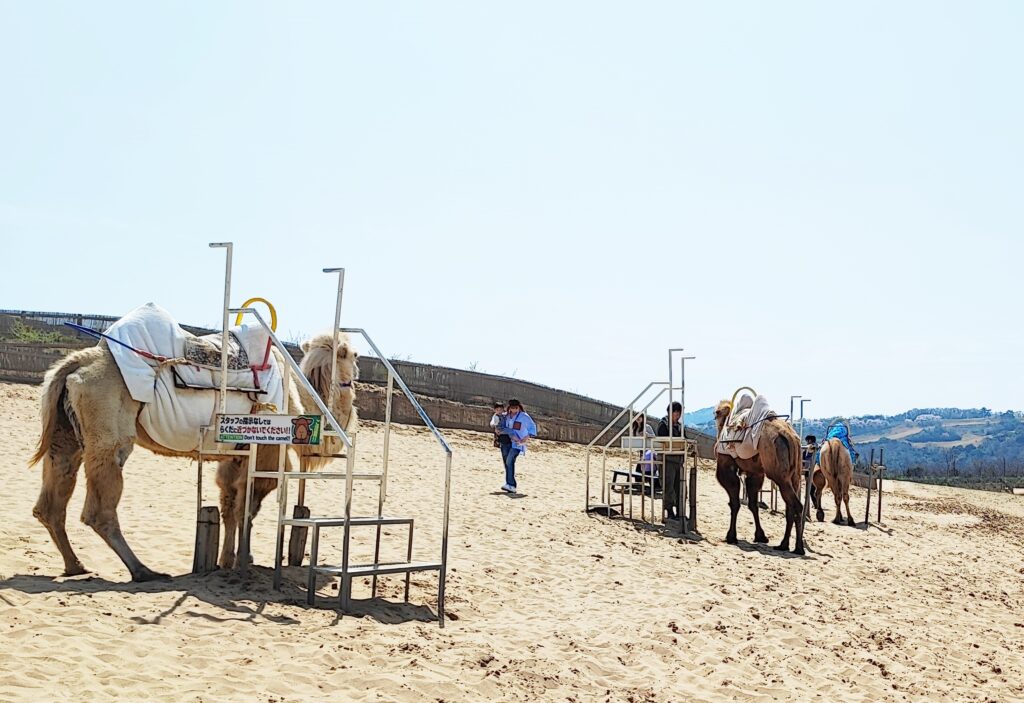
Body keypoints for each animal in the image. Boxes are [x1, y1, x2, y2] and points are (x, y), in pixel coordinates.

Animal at [29, 331, 358, 581]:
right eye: (354, 354)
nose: (357, 375)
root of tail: (74, 364)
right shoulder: (267, 454)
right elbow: (248, 509)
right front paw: (244, 560)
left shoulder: (234, 456)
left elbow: (229, 508)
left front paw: (225, 560)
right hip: (108, 436)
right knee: (98, 510)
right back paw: (144, 571)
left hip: (65, 434)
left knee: (51, 500)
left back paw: (75, 566)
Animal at [712, 401, 806, 556]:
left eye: (717, 413)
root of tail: (789, 436)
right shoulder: (755, 473)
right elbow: (753, 504)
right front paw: (761, 536)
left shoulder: (726, 465)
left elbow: (735, 503)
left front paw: (731, 536)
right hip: (796, 474)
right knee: (790, 506)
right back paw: (784, 545)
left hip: (779, 474)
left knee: (796, 505)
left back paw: (798, 548)